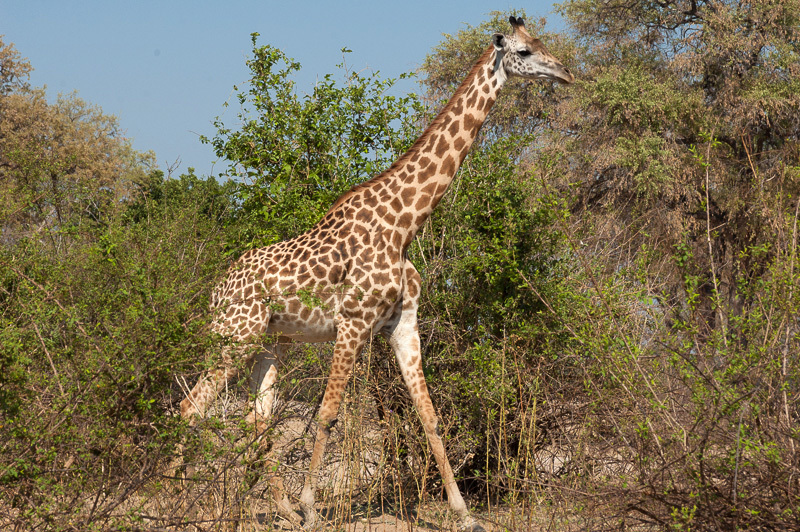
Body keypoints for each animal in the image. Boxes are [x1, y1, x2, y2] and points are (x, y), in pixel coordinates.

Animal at [180, 17, 568, 532]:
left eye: (543, 43)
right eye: (525, 51)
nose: (564, 73)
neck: (404, 224)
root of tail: (216, 290)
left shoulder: (402, 324)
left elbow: (430, 417)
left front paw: (464, 513)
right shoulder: (352, 322)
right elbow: (328, 413)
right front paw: (312, 508)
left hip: (269, 344)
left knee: (254, 420)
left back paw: (276, 510)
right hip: (233, 336)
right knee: (191, 407)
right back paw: (166, 499)